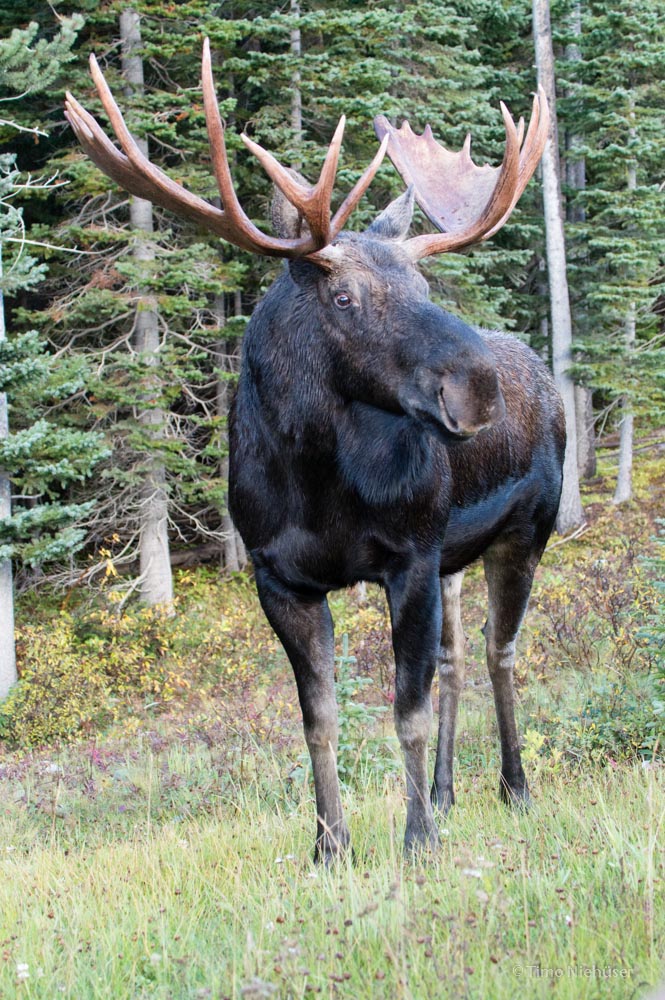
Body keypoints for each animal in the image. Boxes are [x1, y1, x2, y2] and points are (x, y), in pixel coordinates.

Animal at [66, 40, 565, 862]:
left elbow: (404, 712)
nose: (478, 389)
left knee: (502, 653)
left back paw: (513, 786)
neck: (316, 483)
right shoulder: (280, 578)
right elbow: (318, 720)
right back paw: (448, 792)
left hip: (526, 529)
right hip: (457, 554)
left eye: (425, 284)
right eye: (343, 298)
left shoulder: (409, 556)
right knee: (460, 661)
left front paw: (417, 842)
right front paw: (330, 846)